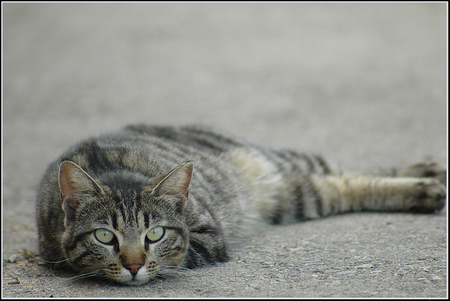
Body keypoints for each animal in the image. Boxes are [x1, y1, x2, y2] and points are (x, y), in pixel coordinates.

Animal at [36, 123, 446, 284]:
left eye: (155, 233)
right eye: (105, 236)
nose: (133, 265)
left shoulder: (208, 235)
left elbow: (176, 255)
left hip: (288, 163)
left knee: (342, 168)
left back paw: (425, 176)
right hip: (300, 196)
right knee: (343, 183)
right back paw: (424, 186)